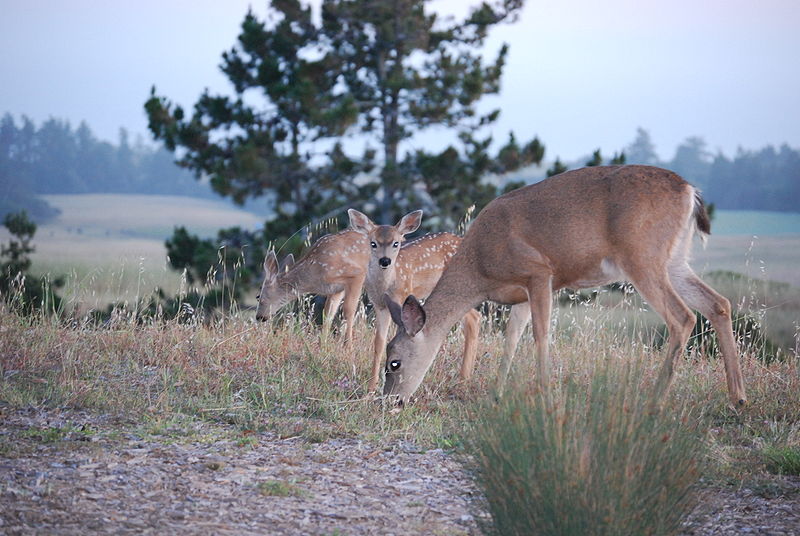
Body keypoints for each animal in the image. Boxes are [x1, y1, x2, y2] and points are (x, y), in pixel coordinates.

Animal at [346, 207, 482, 392]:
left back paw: (463, 379)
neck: (385, 286)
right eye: (373, 243)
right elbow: (378, 344)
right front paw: (371, 387)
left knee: (473, 317)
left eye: (396, 243)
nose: (385, 260)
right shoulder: (379, 305)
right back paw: (465, 378)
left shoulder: (403, 296)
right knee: (474, 318)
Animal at [384, 165, 748, 408]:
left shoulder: (539, 272)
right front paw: (497, 393)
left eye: (394, 362)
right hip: (674, 260)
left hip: (643, 256)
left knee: (682, 316)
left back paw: (655, 400)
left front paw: (544, 393)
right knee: (718, 303)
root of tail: (689, 190)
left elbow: (541, 334)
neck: (480, 268)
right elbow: (511, 338)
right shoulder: (519, 295)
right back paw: (738, 397)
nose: (389, 401)